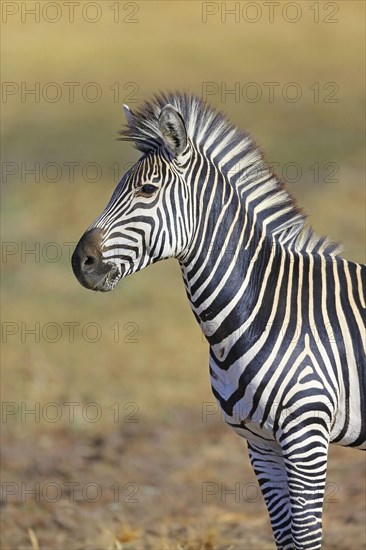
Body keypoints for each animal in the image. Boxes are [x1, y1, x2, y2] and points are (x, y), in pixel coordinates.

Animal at [70, 92, 364, 548]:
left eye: (147, 190)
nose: (80, 262)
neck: (261, 312)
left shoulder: (306, 436)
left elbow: (305, 537)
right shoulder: (260, 443)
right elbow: (284, 536)